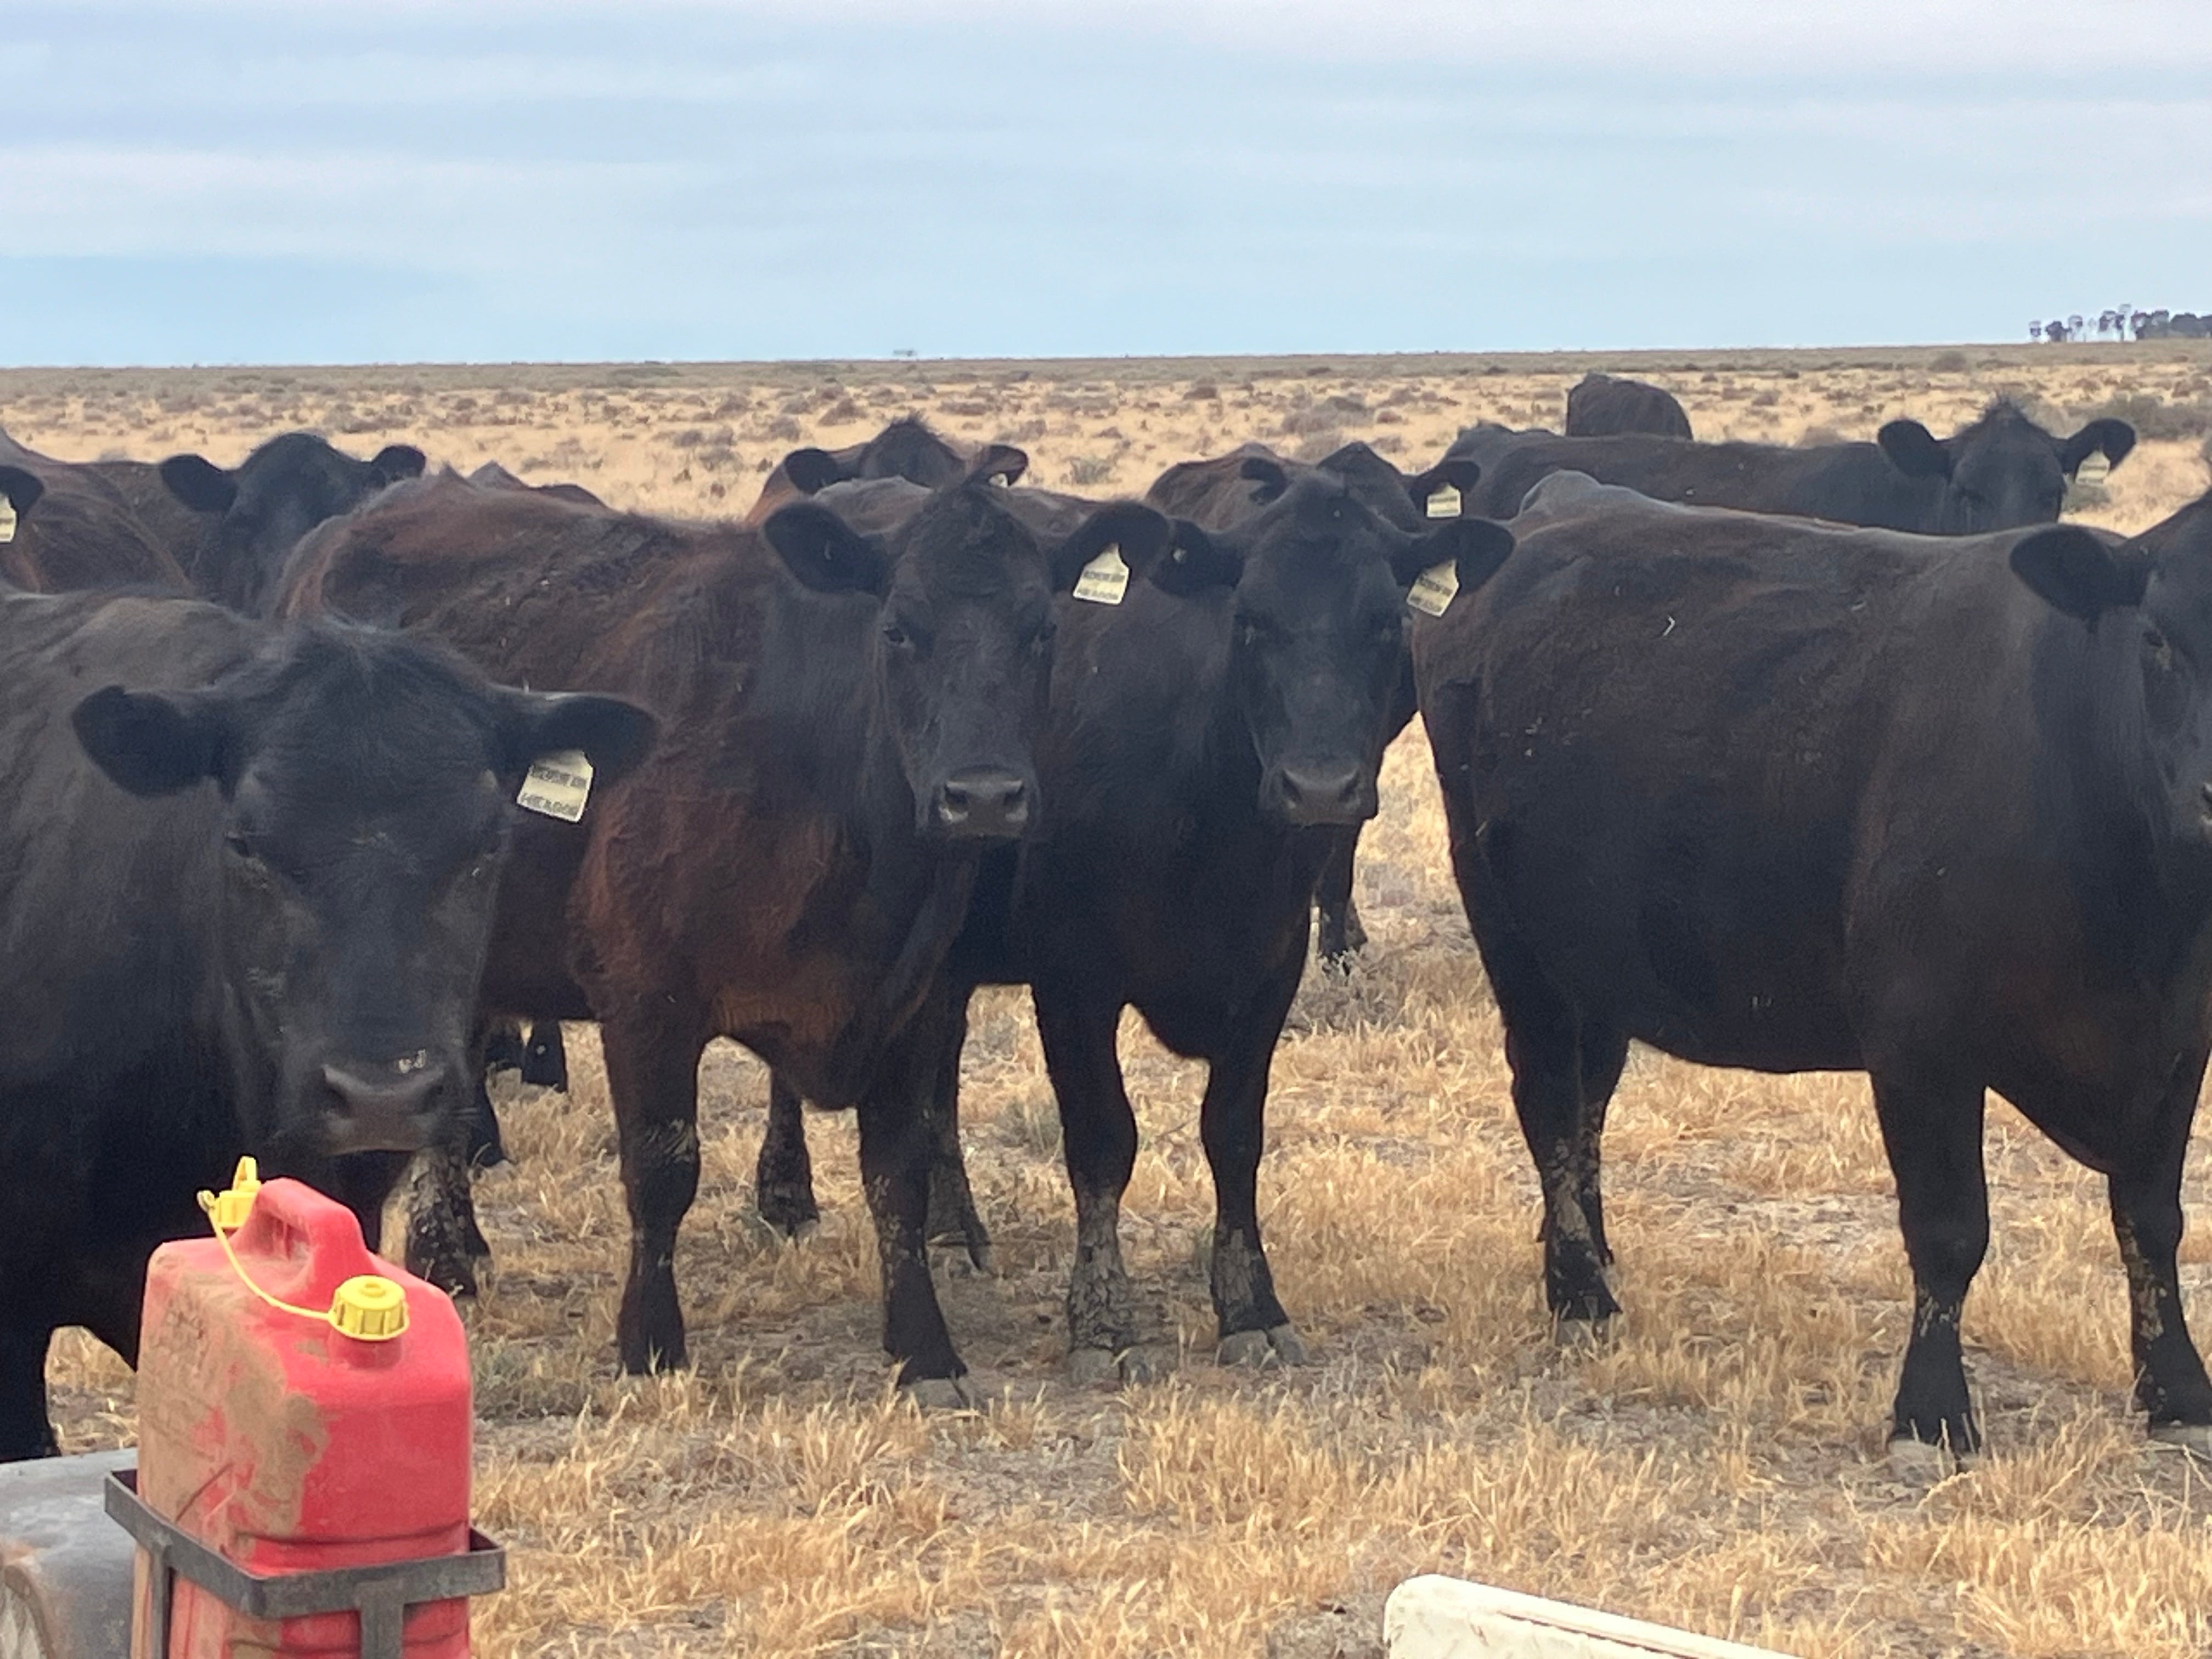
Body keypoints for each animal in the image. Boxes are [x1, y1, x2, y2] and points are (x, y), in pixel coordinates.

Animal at [277, 459, 1181, 1398]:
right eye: (899, 629)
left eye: (1043, 630)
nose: (985, 796)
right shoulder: (646, 1002)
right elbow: (662, 1170)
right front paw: (651, 1342)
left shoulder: (915, 1004)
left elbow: (899, 1178)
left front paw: (924, 1348)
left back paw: (447, 1253)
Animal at [1416, 471, 2212, 1470]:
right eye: (2157, 640)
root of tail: (1557, 503)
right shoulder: (1918, 1038)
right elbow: (1950, 1228)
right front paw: (1931, 1411)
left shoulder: (2177, 1045)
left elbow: (2152, 1219)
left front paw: (2177, 1389)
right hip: (1517, 943)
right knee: (1551, 1100)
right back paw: (1578, 1290)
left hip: (1596, 963)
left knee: (1590, 1099)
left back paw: (1593, 1253)